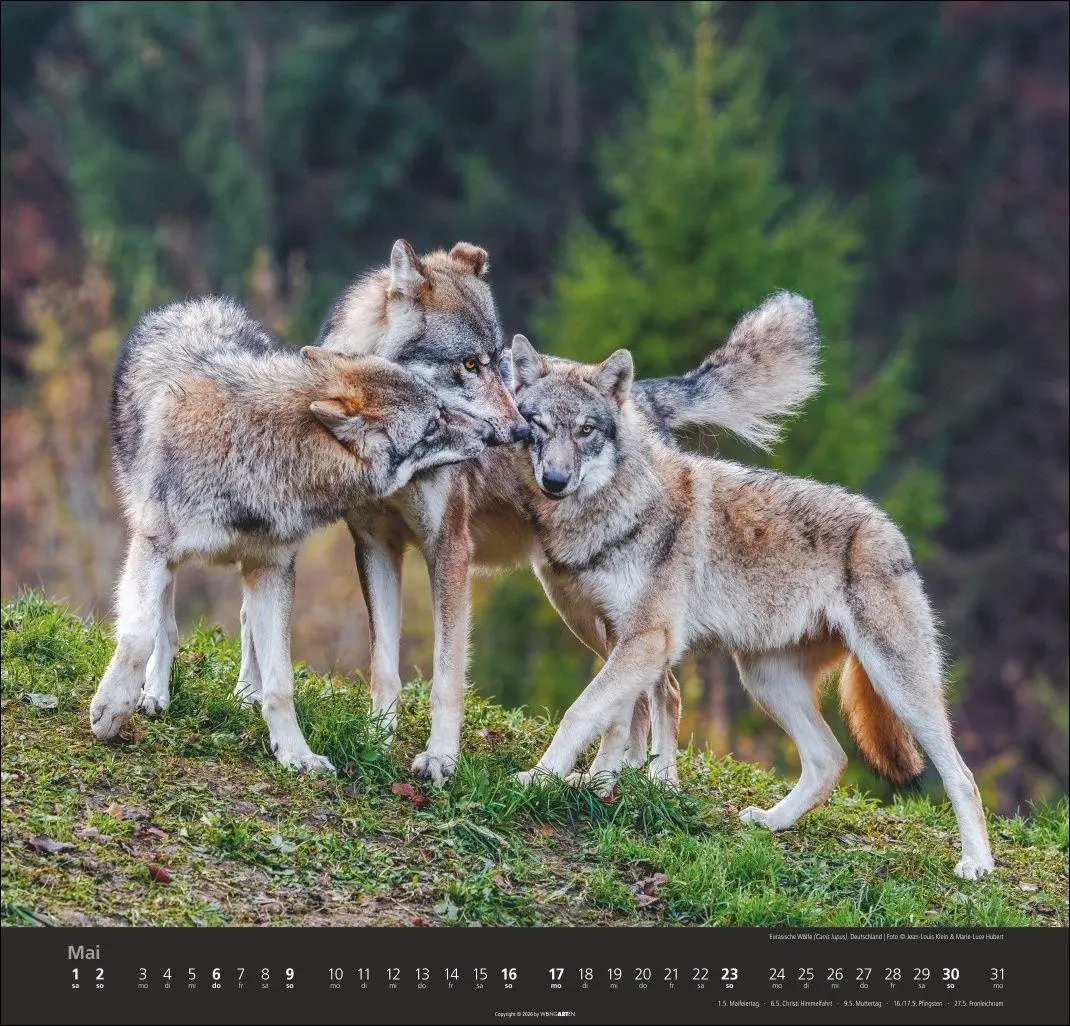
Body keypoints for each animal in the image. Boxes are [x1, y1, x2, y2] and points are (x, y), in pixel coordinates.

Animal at [89, 296, 491, 773]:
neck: (256, 455)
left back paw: (246, 694)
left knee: (246, 627)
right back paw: (154, 694)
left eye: (441, 408)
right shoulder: (154, 548)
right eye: (433, 424)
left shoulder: (273, 568)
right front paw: (112, 707)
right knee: (163, 624)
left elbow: (282, 683)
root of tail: (201, 304)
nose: (491, 432)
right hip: (159, 549)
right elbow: (137, 635)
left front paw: (296, 753)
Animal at [318, 242, 820, 782]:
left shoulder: (448, 549)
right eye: (470, 364)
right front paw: (375, 742)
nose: (522, 430)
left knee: (665, 692)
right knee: (635, 699)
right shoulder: (374, 546)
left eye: (496, 362)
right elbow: (384, 668)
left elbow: (447, 675)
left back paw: (658, 783)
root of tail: (643, 398)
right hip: (582, 608)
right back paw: (615, 779)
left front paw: (440, 758)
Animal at [507, 334, 995, 880]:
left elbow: (580, 713)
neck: (612, 510)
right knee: (829, 759)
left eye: (586, 430)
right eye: (538, 426)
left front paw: (541, 777)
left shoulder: (647, 640)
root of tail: (885, 524)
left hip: (899, 686)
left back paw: (977, 865)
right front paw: (594, 784)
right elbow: (615, 718)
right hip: (765, 680)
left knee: (961, 775)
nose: (553, 479)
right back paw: (771, 822)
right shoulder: (619, 639)